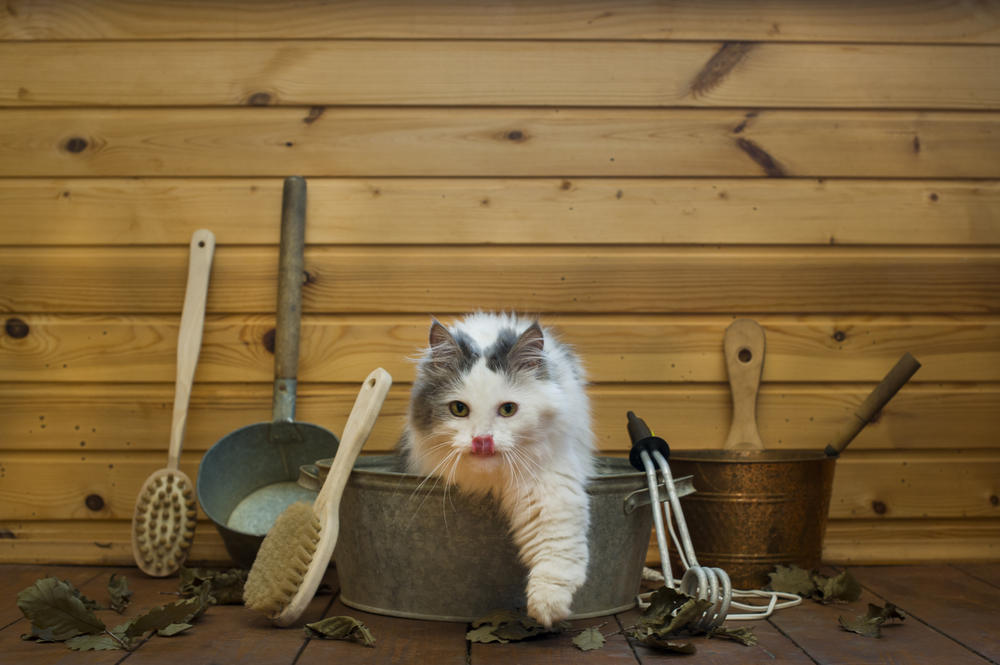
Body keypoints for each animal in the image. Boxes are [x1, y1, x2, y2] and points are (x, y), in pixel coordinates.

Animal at [398, 312, 592, 628]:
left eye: (508, 409)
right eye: (459, 409)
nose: (482, 440)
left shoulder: (548, 489)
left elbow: (555, 552)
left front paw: (547, 609)